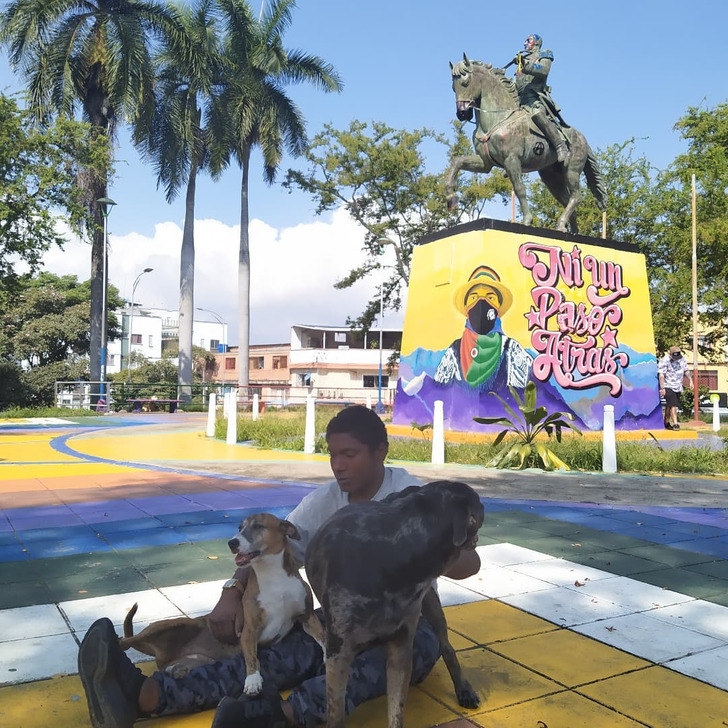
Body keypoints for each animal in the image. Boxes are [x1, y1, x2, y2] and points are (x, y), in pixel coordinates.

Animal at [120, 512, 324, 692]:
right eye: (240, 528)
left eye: (258, 526)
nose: (232, 542)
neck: (273, 575)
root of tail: (160, 653)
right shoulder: (249, 629)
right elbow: (252, 658)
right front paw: (252, 680)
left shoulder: (307, 617)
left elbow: (322, 637)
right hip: (176, 624)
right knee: (126, 640)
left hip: (198, 660)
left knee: (166, 668)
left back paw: (176, 670)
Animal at [302, 480, 484, 724]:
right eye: (479, 502)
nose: (484, 504)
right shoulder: (338, 656)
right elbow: (336, 714)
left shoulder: (401, 650)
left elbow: (397, 711)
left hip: (431, 605)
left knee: (447, 647)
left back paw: (464, 689)